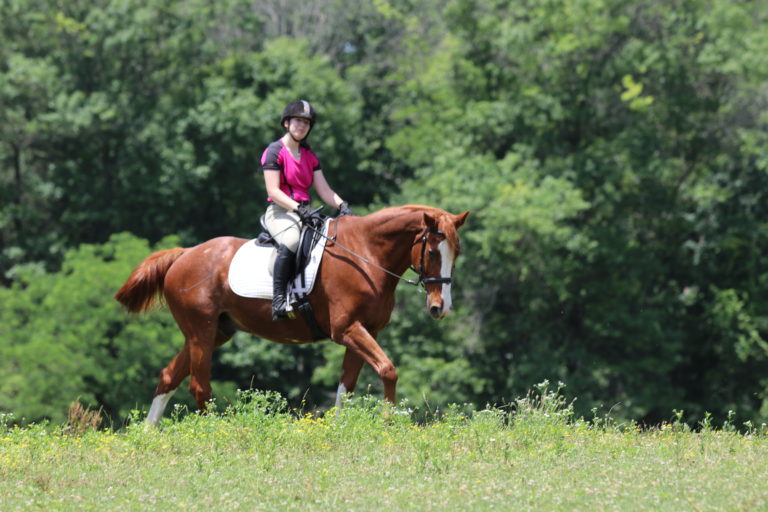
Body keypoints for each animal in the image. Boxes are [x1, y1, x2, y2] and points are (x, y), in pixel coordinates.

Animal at [114, 205, 469, 426]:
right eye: (433, 251)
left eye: (457, 252)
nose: (441, 308)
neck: (365, 255)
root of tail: (184, 255)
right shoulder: (348, 330)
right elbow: (388, 370)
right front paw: (387, 423)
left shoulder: (366, 331)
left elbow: (346, 387)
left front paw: (340, 430)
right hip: (201, 333)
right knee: (199, 387)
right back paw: (217, 432)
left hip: (213, 333)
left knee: (168, 377)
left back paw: (149, 435)